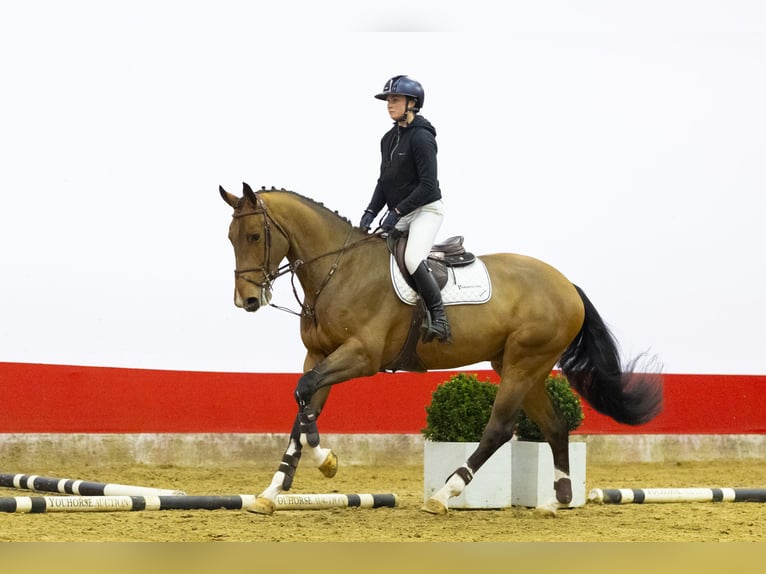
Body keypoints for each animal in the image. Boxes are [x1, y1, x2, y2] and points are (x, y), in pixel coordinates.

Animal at [219, 182, 663, 516]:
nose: (247, 301)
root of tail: (567, 284)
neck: (338, 269)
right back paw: (557, 501)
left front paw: (326, 460)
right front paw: (272, 492)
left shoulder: (361, 356)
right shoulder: (319, 355)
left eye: (254, 236)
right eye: (230, 238)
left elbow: (305, 394)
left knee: (499, 428)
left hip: (524, 363)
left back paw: (444, 494)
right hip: (521, 366)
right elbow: (303, 405)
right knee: (554, 425)